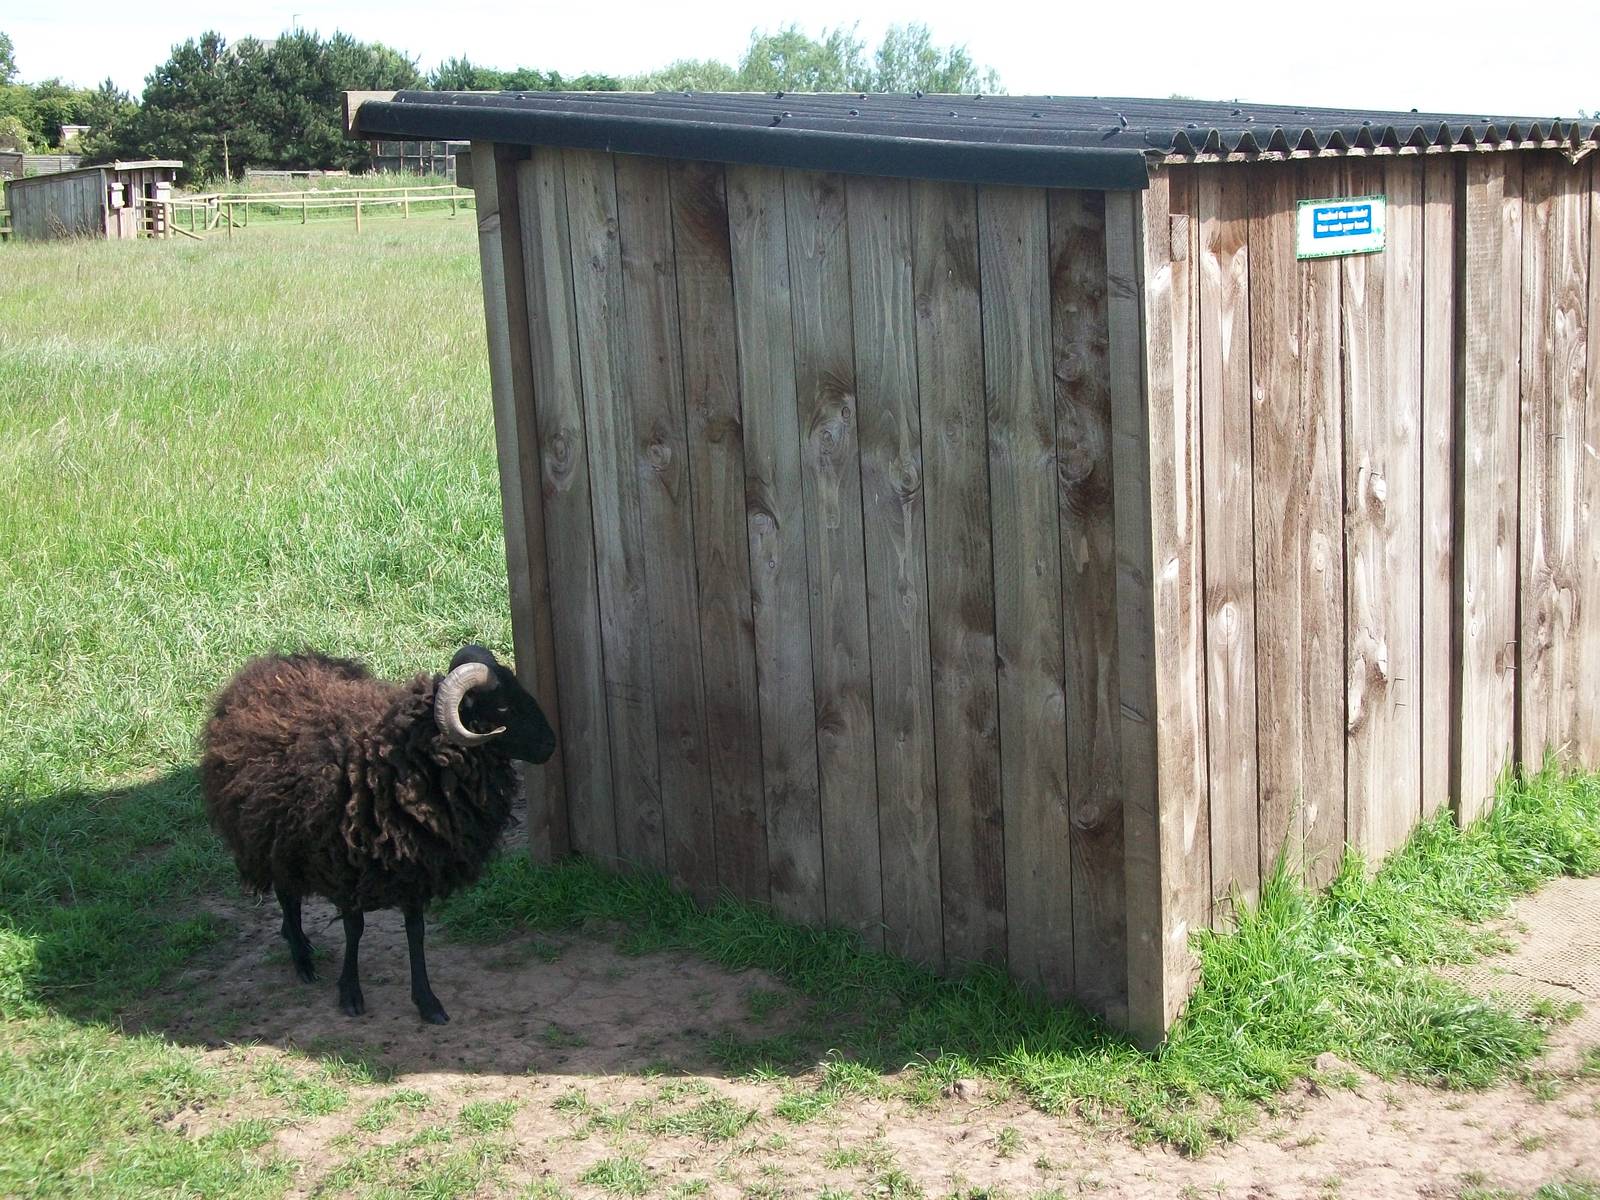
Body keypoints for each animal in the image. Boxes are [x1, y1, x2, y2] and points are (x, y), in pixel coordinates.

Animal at [200, 645, 556, 1024]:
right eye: (503, 707)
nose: (550, 745)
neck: (396, 765)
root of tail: (267, 664)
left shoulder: (416, 865)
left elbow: (416, 931)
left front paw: (427, 1002)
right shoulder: (343, 867)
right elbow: (354, 928)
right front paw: (350, 993)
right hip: (271, 835)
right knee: (286, 893)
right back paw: (301, 956)